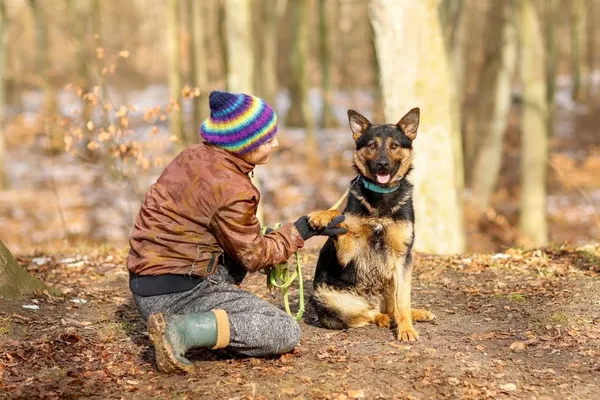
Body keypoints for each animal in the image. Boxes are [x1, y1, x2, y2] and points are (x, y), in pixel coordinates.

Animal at [308, 108, 434, 342]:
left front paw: (406, 328)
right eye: (372, 145)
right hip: (326, 297)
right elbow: (343, 224)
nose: (382, 164)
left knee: (393, 307)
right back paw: (382, 318)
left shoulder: (402, 257)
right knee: (365, 315)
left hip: (391, 279)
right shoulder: (348, 252)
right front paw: (324, 215)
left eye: (394, 145)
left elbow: (403, 301)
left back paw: (412, 314)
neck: (380, 197)